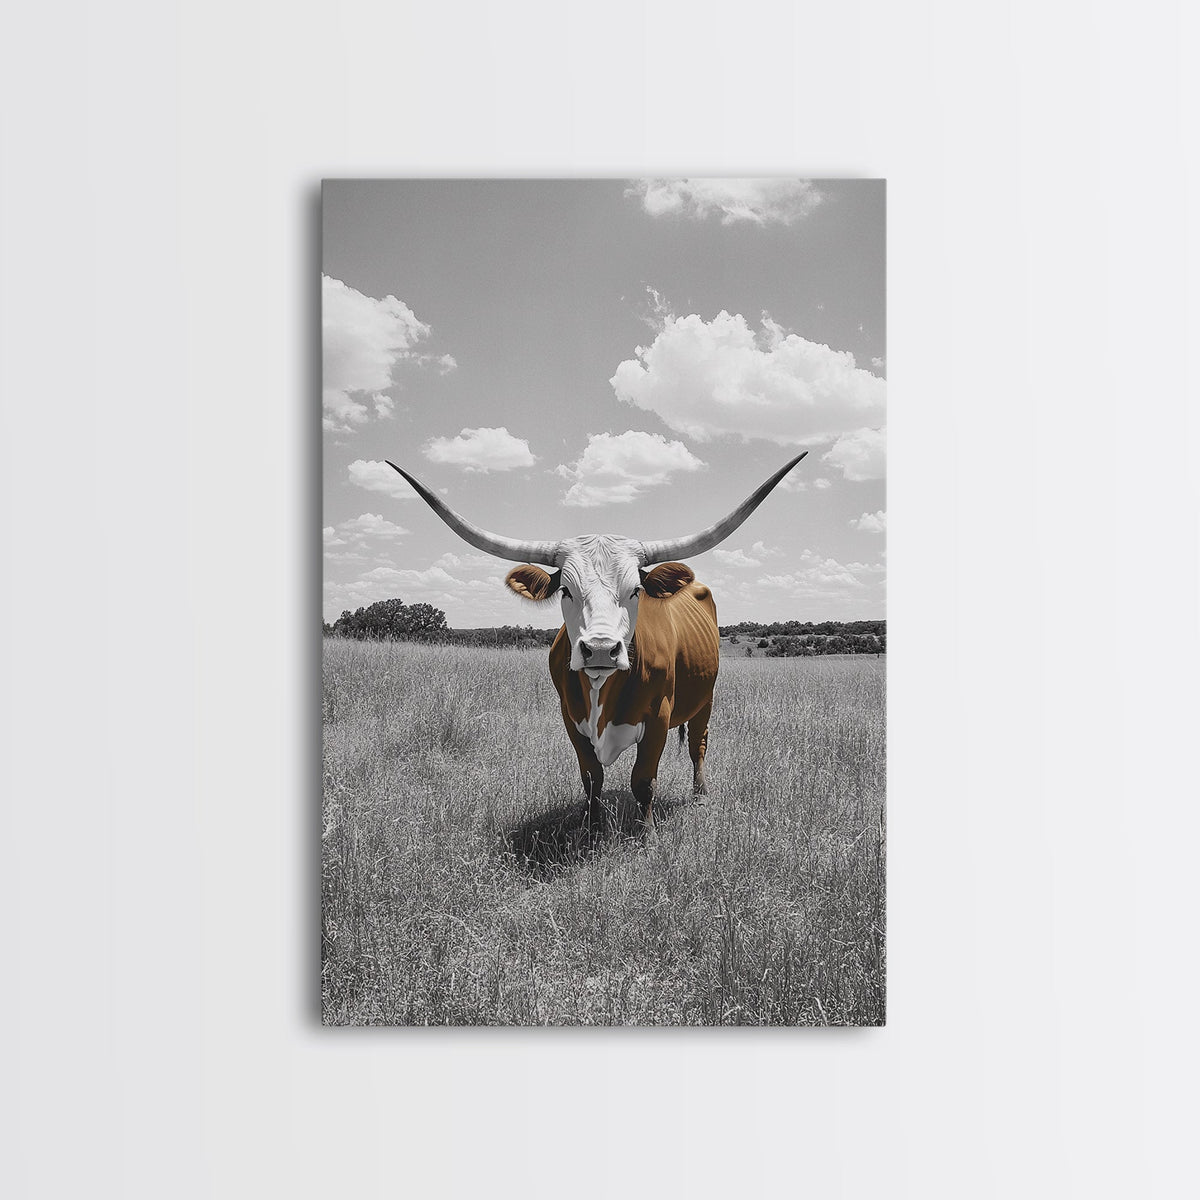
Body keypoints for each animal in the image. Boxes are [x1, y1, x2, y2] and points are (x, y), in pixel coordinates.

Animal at [386, 453, 808, 825]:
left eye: (636, 590)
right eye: (566, 590)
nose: (601, 649)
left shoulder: (659, 718)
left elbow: (643, 781)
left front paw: (646, 834)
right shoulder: (571, 721)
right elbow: (592, 780)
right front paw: (590, 827)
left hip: (706, 698)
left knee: (698, 744)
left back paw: (701, 793)